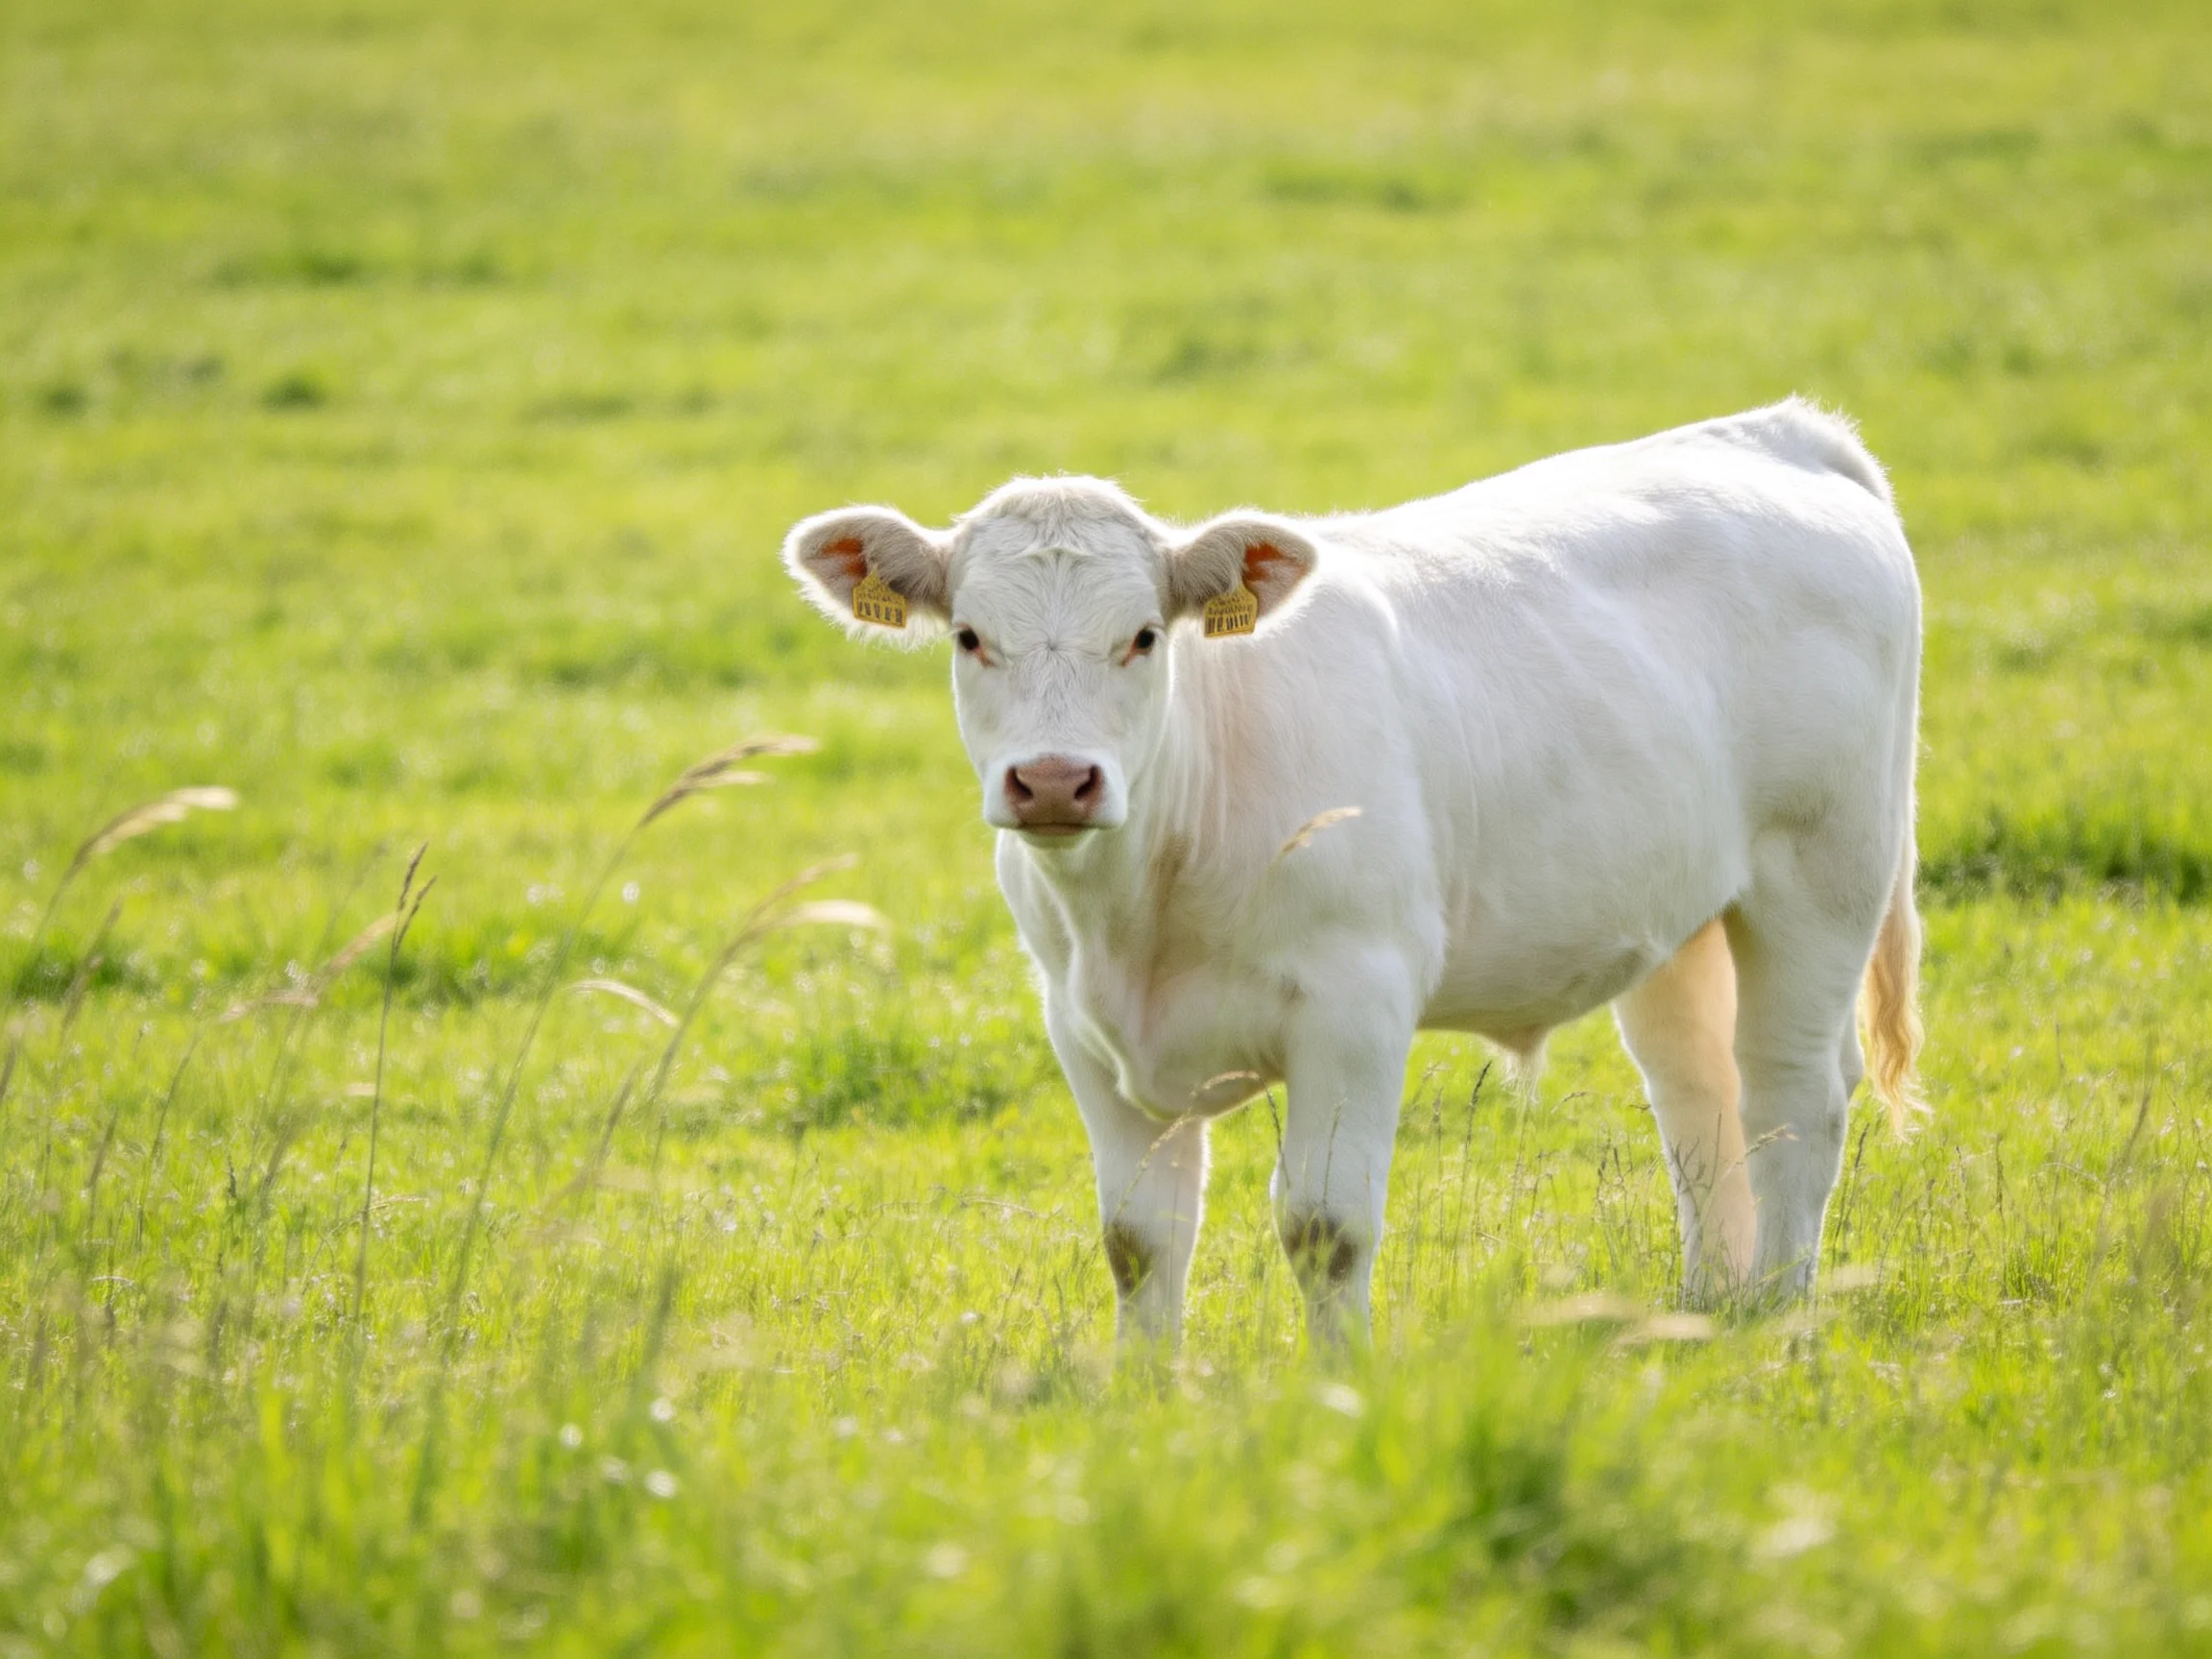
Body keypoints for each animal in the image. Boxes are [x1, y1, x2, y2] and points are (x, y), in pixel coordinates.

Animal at [781, 399, 1924, 1346]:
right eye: (971, 638)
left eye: (1144, 637)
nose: (1055, 781)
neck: (1144, 908)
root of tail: (1776, 433)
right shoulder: (1081, 1025)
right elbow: (1139, 1240)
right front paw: (1145, 1395)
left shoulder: (1357, 1000)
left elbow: (1324, 1225)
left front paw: (1342, 1384)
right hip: (1677, 915)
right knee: (1699, 1095)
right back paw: (1710, 1306)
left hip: (1823, 876)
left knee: (1793, 1096)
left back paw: (1780, 1314)